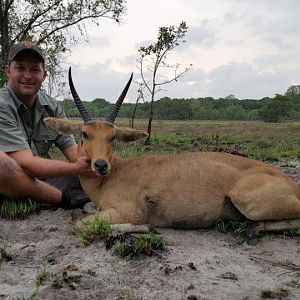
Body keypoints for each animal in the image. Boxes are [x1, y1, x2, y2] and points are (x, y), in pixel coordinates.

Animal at [44, 68, 300, 239]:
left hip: (250, 205)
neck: (113, 175)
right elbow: (87, 208)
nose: (100, 165)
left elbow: (81, 225)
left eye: (112, 136)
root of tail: (292, 184)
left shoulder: (128, 212)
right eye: (85, 134)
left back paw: (254, 229)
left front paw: (147, 227)